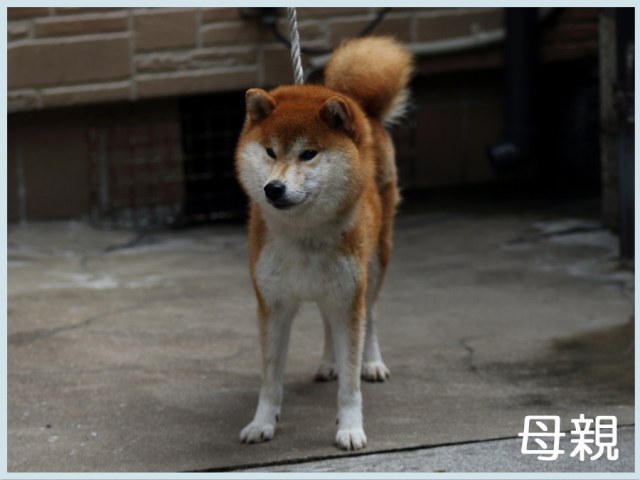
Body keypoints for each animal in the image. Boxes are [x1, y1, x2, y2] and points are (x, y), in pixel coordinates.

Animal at [238, 36, 412, 450]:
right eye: (270, 151)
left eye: (308, 153)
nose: (273, 188)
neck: (304, 236)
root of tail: (365, 110)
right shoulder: (272, 304)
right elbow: (270, 379)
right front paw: (262, 423)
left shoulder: (348, 297)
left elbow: (349, 385)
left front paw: (349, 427)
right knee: (325, 319)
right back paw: (329, 362)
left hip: (373, 265)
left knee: (372, 315)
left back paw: (372, 362)